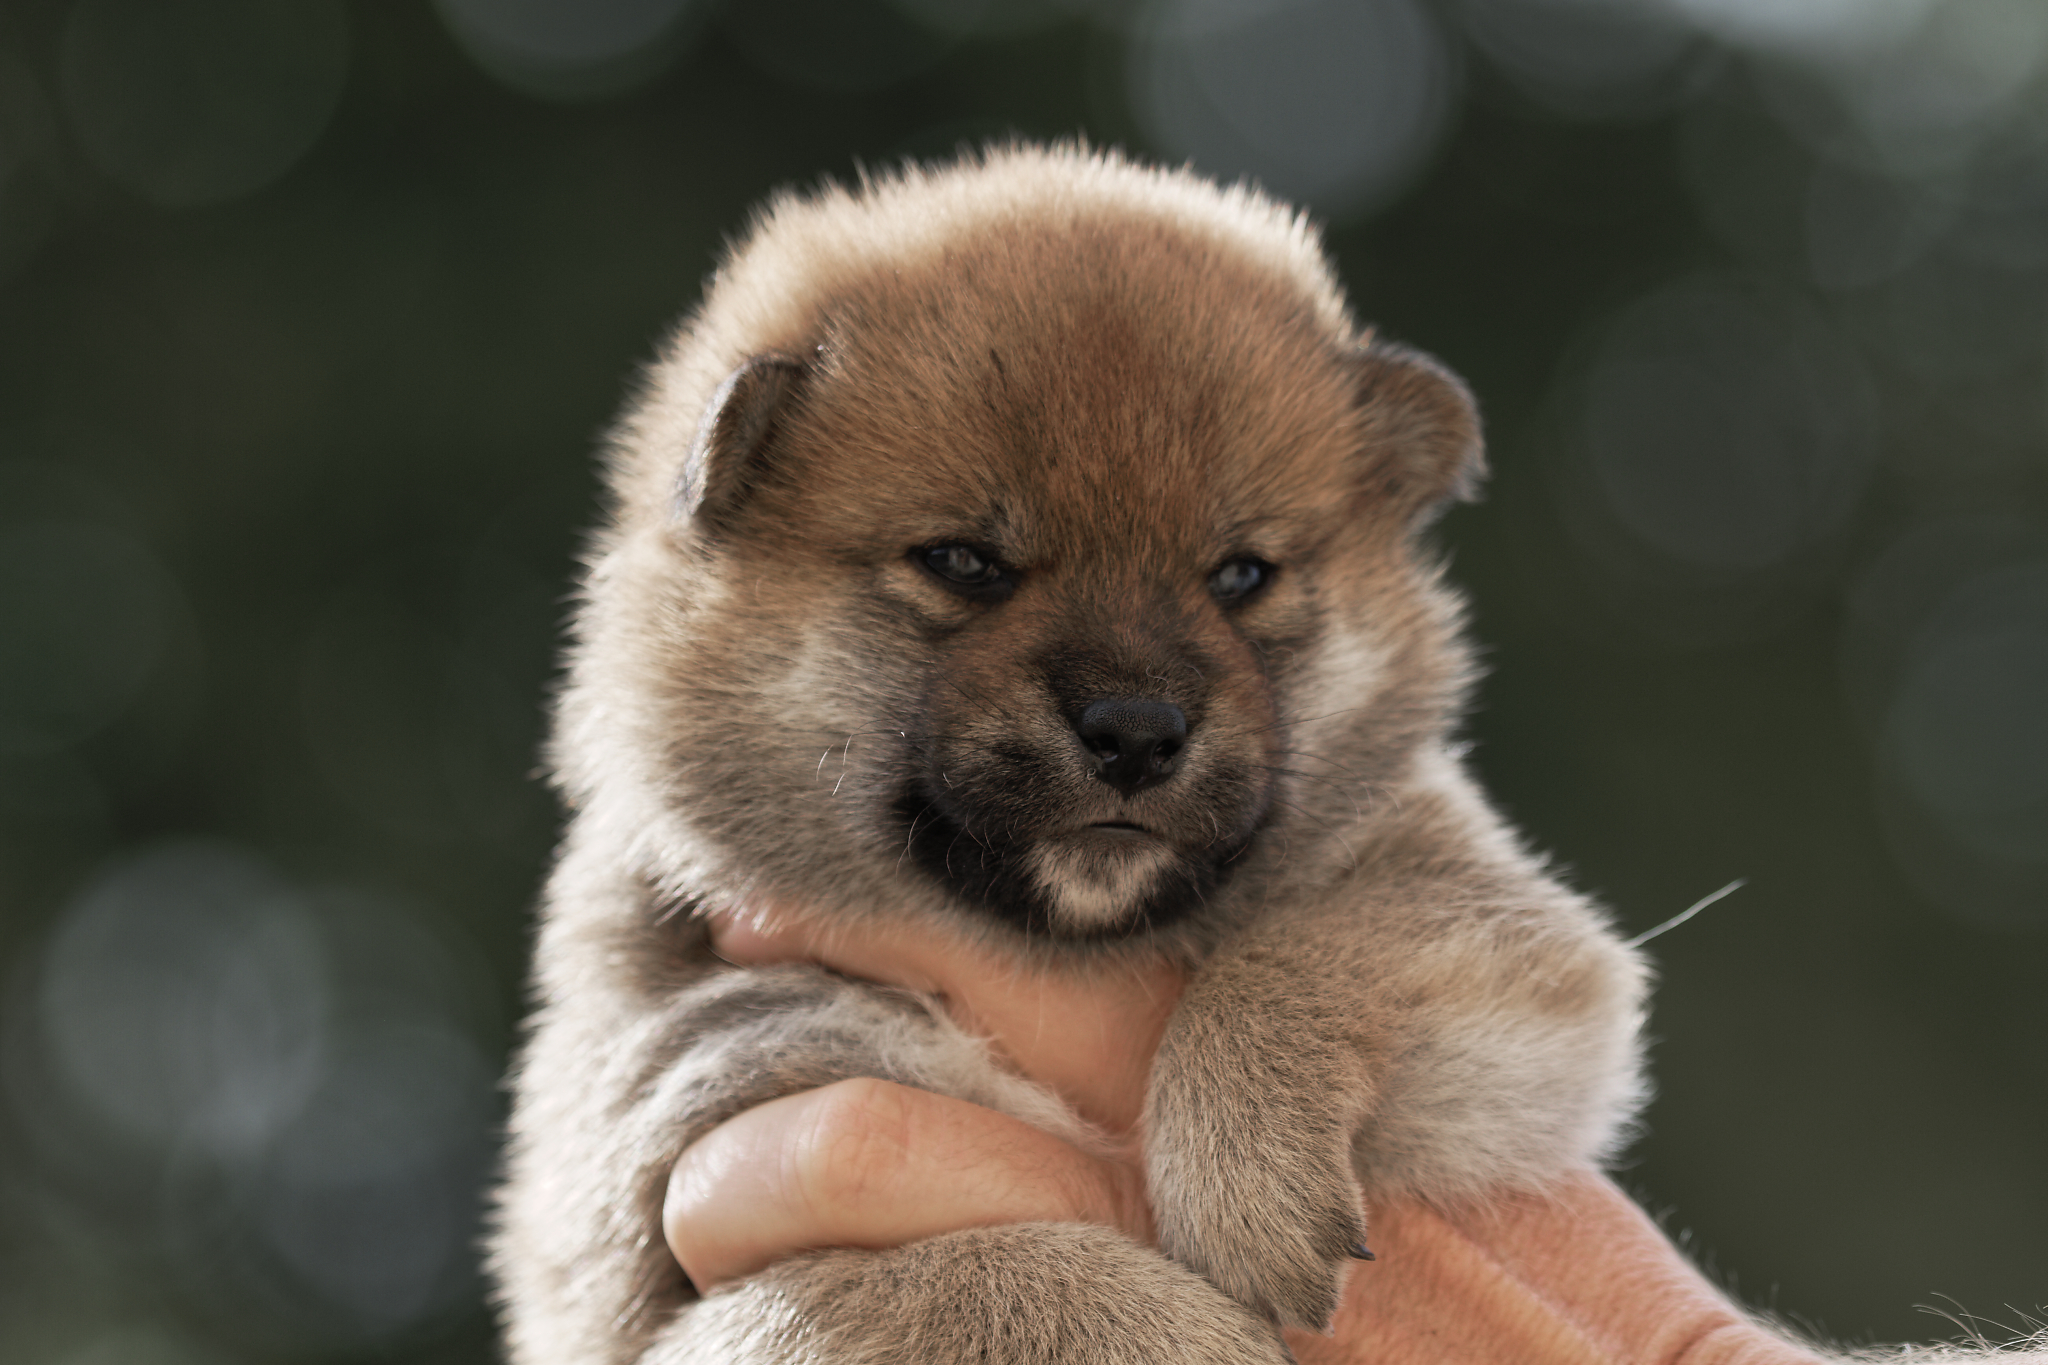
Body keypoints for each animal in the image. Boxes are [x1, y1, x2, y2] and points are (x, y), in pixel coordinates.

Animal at [490, 143, 1649, 1364]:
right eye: (963, 562)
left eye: (1240, 575)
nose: (1136, 730)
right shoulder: (678, 1172)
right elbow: (969, 1276)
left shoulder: (1499, 926)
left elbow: (1297, 955)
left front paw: (1245, 1179)